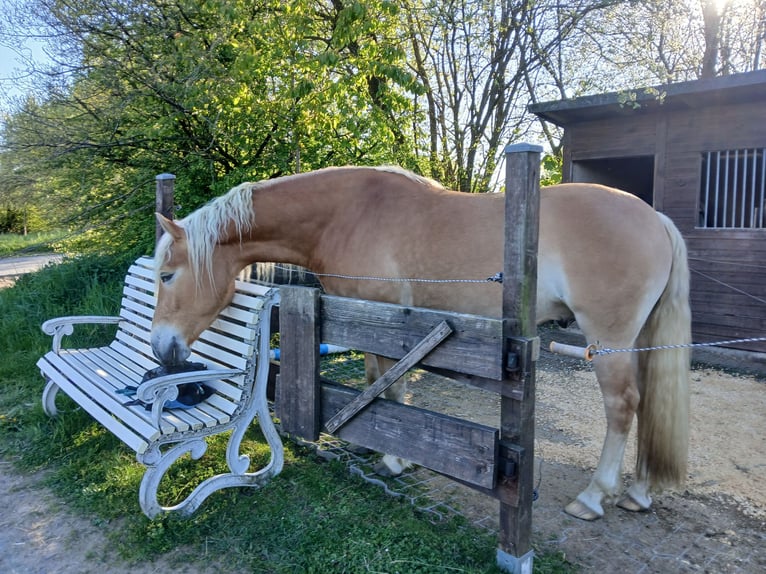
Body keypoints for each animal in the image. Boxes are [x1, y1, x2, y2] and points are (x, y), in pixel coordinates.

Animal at [150, 165, 691, 521]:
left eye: (167, 275)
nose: (162, 348)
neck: (346, 213)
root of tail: (657, 220)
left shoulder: (381, 319)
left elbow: (386, 383)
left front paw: (392, 458)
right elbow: (379, 380)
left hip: (608, 341)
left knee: (623, 407)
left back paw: (595, 497)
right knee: (647, 404)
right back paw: (638, 492)